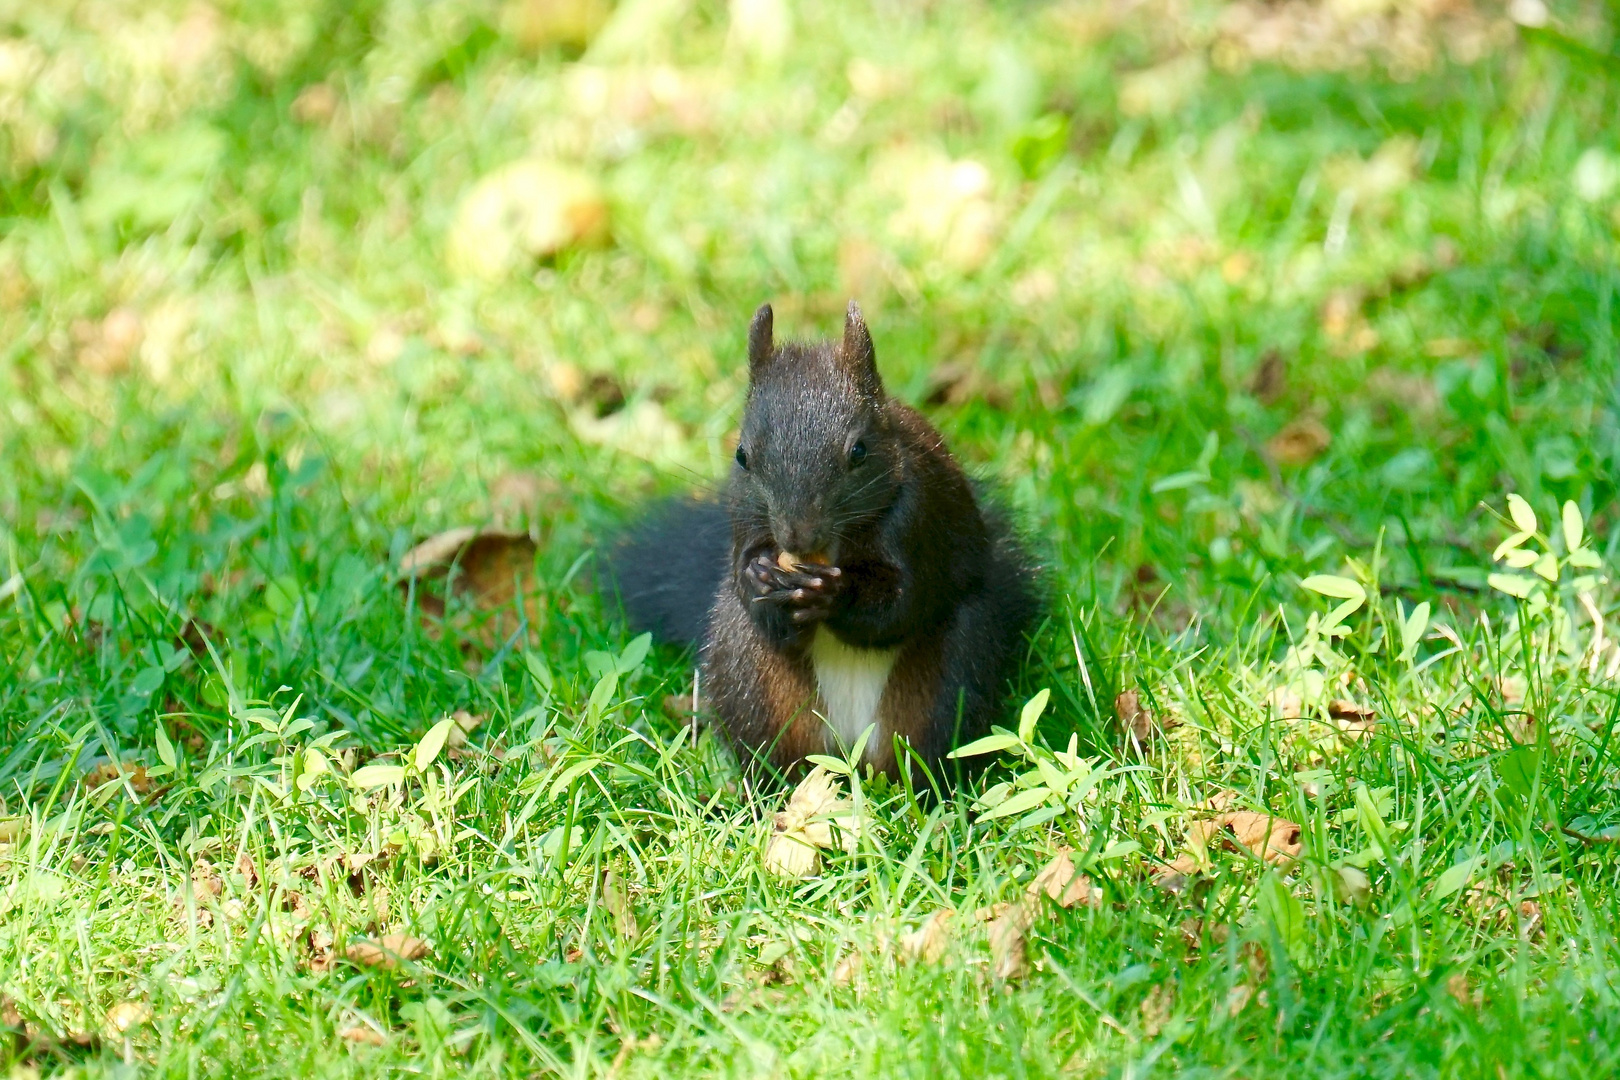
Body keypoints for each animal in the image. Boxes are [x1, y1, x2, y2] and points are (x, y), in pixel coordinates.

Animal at [605, 299, 1036, 790]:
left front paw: (836, 593)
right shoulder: (743, 520)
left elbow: (901, 605)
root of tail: (851, 753)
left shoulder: (919, 521)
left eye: (859, 451)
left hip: (952, 678)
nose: (797, 535)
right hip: (749, 679)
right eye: (741, 456)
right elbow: (747, 577)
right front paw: (758, 578)